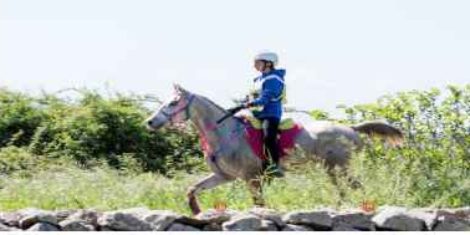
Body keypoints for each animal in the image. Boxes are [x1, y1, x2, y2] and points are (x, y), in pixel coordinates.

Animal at [146, 84, 404, 215]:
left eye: (172, 103)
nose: (150, 121)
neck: (225, 132)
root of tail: (351, 128)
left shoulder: (252, 177)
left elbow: (258, 204)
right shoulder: (225, 176)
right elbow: (193, 189)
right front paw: (195, 210)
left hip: (339, 167)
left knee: (357, 188)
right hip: (332, 169)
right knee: (343, 191)